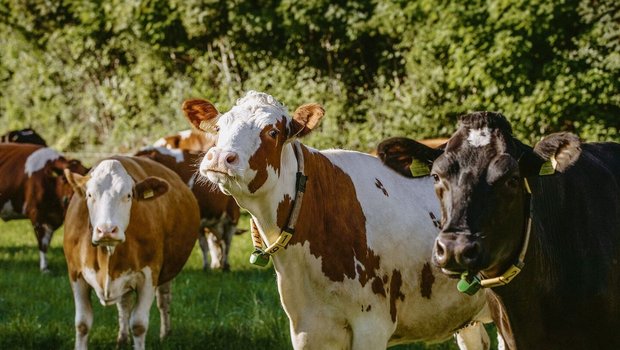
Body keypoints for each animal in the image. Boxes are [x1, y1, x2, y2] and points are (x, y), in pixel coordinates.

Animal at [63, 157, 199, 350]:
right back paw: (122, 338)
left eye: (128, 195)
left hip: (166, 272)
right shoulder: (76, 275)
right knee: (124, 304)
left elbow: (139, 325)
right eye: (89, 195)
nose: (106, 230)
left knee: (164, 300)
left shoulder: (149, 276)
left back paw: (165, 333)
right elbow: (82, 324)